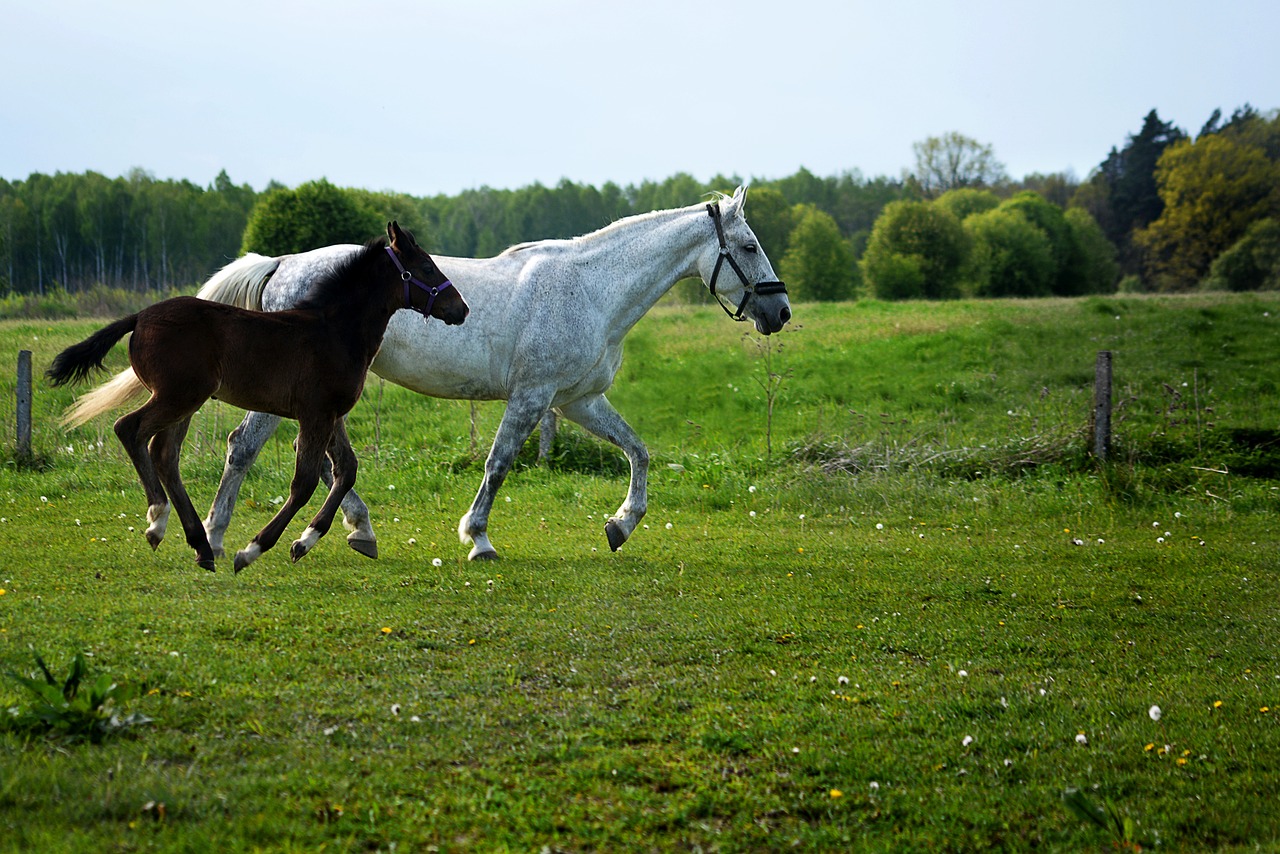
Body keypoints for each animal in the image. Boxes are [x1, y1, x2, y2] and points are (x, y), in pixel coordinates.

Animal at [70, 186, 793, 560]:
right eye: (749, 244)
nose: (781, 311)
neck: (589, 288)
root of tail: (279, 264)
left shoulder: (578, 401)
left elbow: (639, 452)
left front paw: (621, 525)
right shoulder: (532, 398)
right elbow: (498, 466)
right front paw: (478, 540)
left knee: (312, 462)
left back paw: (345, 532)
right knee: (244, 448)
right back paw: (222, 538)